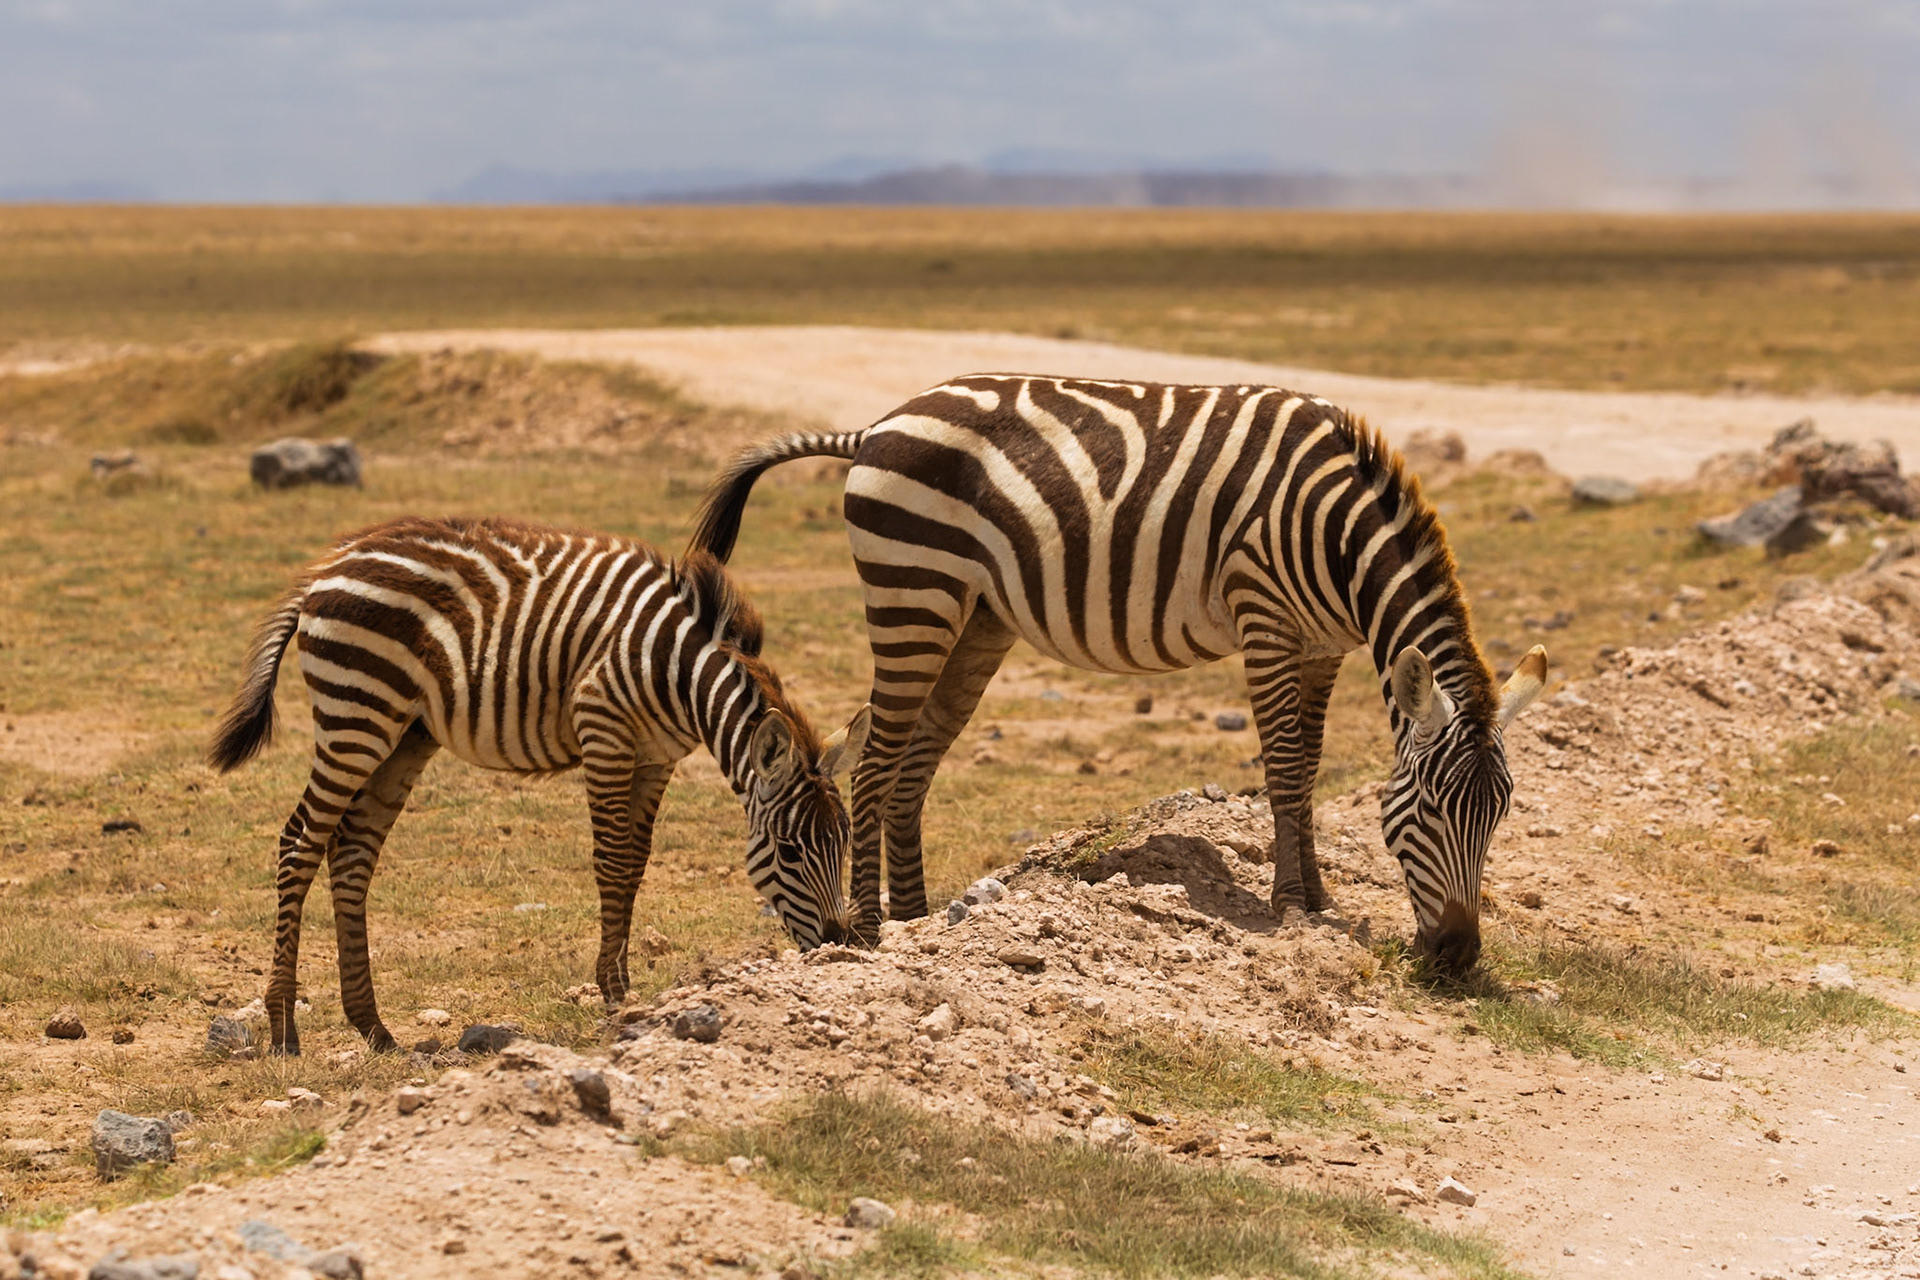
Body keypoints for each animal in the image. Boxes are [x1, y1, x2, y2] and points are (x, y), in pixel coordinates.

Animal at [209, 516, 870, 1054]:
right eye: (788, 851)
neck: (679, 674)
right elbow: (612, 861)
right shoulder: (605, 731)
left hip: (404, 734)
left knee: (351, 852)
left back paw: (372, 1026)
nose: (840, 944)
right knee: (299, 843)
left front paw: (622, 985)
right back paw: (283, 1028)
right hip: (357, 713)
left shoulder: (657, 759)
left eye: (843, 842)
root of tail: (327, 569)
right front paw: (614, 993)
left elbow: (636, 864)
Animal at [689, 376, 1548, 974]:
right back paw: (869, 932)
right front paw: (1289, 904)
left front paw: (1317, 895)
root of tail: (875, 427)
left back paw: (920, 918)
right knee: (875, 765)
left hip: (978, 617)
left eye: (1501, 813)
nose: (1458, 956)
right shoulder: (1266, 622)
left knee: (915, 764)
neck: (1338, 540)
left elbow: (1307, 769)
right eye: (1430, 810)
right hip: (913, 595)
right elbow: (1284, 770)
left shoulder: (1321, 646)